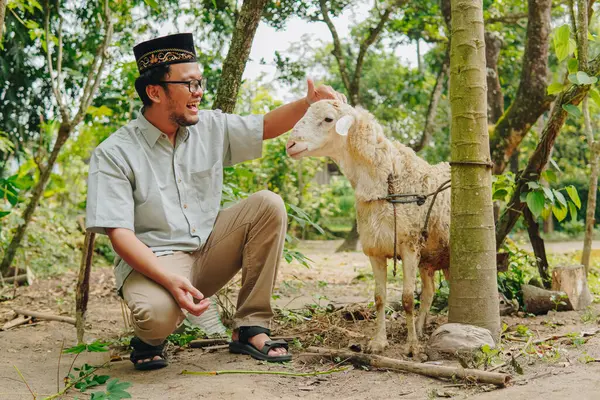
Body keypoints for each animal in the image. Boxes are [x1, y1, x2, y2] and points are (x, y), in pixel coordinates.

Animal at [286, 101, 450, 356]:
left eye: (328, 119)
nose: (290, 145)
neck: (386, 180)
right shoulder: (375, 249)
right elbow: (380, 297)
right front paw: (378, 342)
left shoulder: (410, 246)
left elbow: (406, 299)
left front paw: (412, 346)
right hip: (429, 258)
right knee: (430, 292)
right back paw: (422, 327)